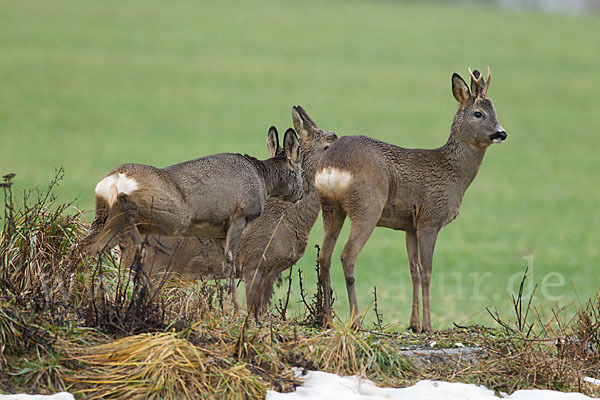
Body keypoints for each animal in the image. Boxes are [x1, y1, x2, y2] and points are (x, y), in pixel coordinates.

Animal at [81, 126, 302, 308]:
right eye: (298, 171)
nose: (300, 194)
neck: (261, 179)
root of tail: (115, 179)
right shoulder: (239, 216)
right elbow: (231, 262)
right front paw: (234, 311)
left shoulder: (217, 232)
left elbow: (224, 265)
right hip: (146, 216)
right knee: (136, 254)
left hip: (105, 219)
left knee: (84, 248)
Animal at [316, 68, 508, 332]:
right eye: (479, 113)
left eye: (495, 110)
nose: (502, 133)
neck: (454, 175)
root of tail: (332, 166)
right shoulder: (430, 218)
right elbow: (427, 270)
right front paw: (428, 325)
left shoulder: (409, 225)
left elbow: (413, 270)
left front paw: (414, 324)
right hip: (368, 205)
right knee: (348, 254)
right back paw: (356, 322)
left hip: (330, 208)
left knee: (324, 256)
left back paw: (327, 320)